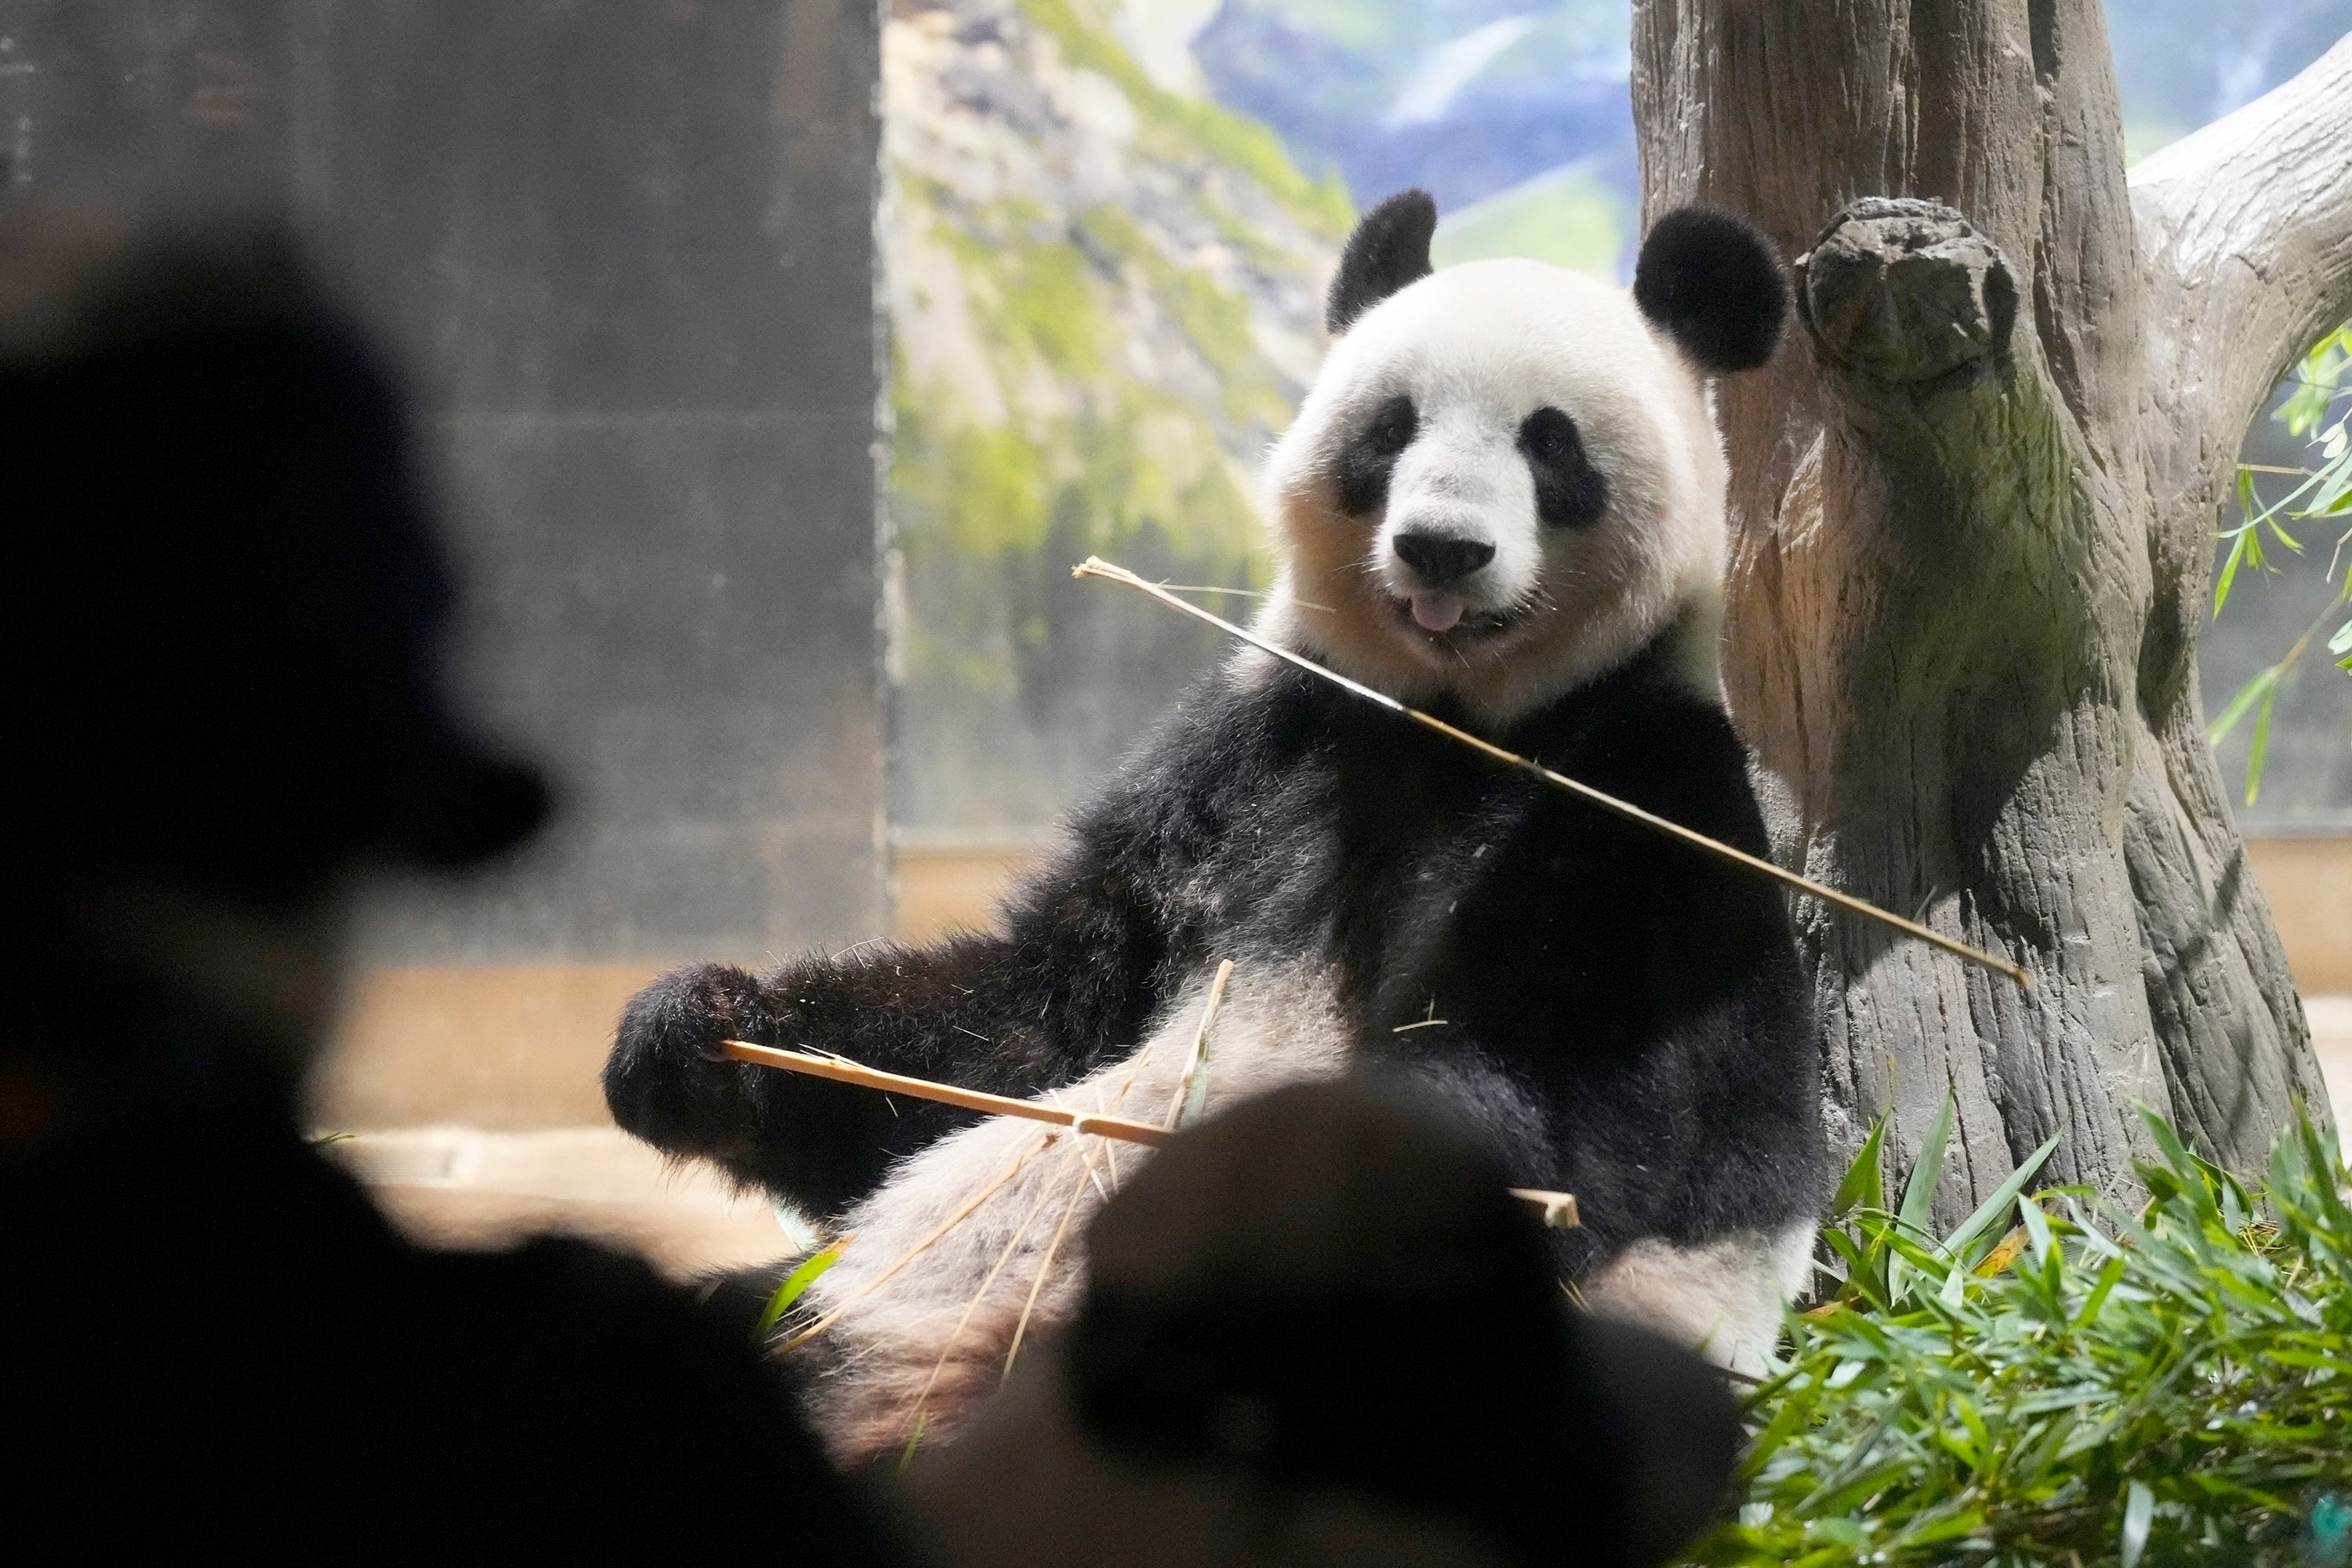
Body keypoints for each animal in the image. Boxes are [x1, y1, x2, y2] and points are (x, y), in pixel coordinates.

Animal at [604, 190, 1826, 1468]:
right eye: (1390, 429)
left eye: (1553, 445)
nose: (1442, 546)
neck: (1457, 721)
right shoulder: (1247, 761)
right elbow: (1017, 1031)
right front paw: (700, 1032)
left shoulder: (1644, 810)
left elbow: (1588, 1120)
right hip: (842, 1306)